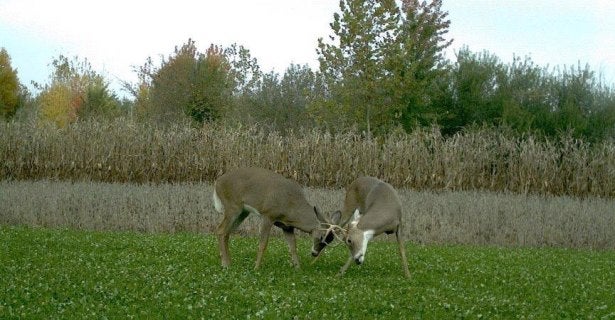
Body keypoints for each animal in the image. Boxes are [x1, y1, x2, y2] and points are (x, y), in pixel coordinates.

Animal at [214, 168, 344, 270]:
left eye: (330, 240)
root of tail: (217, 182)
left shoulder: (287, 226)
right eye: (321, 236)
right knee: (220, 230)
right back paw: (225, 264)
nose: (314, 253)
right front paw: (256, 268)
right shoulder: (268, 215)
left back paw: (229, 263)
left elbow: (293, 247)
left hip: (243, 212)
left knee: (226, 232)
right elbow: (263, 244)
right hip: (232, 206)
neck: (291, 206)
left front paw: (298, 268)